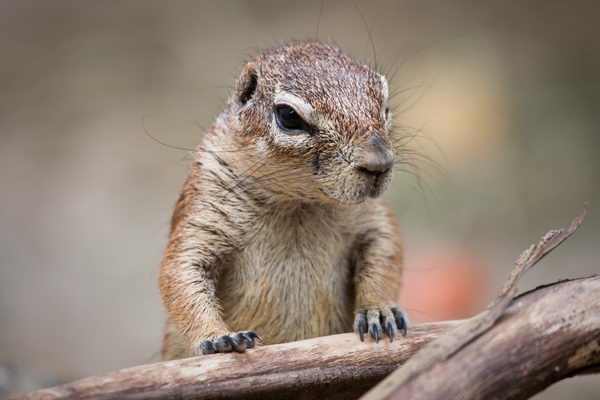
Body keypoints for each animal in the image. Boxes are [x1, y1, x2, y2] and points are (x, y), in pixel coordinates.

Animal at [158, 40, 408, 360]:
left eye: (384, 106)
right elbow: (181, 272)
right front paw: (218, 337)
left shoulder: (373, 218)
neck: (298, 202)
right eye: (289, 116)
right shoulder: (203, 210)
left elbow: (386, 252)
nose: (380, 164)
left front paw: (380, 310)